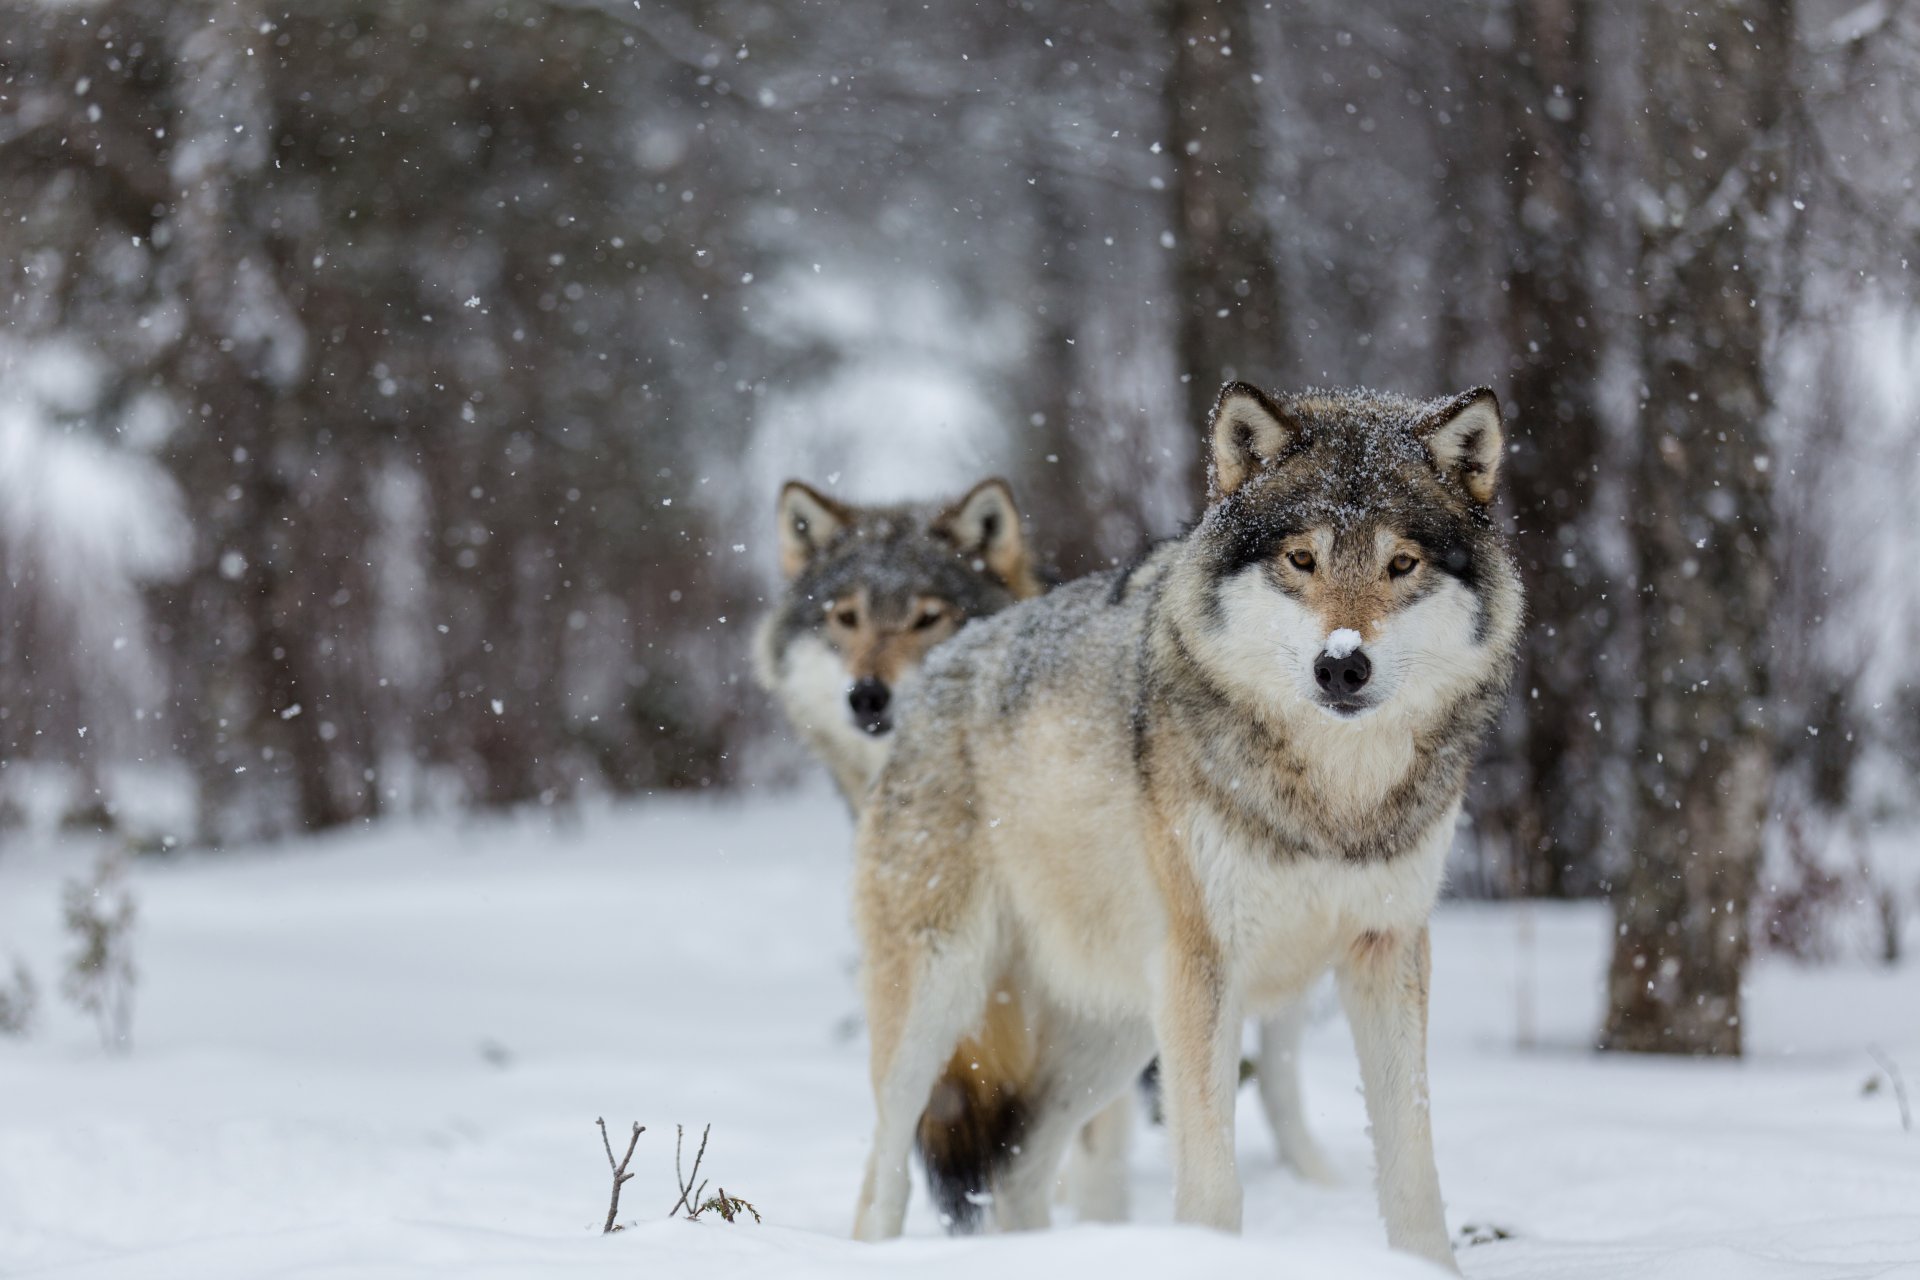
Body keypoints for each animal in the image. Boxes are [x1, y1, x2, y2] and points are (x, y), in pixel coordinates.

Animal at [848, 383, 1520, 1274]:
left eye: (1400, 564)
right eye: (1301, 560)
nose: (1342, 665)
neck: (1332, 800)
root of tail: (936, 667)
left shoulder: (1388, 949)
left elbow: (1413, 1173)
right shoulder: (1208, 969)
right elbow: (1212, 1188)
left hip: (1117, 1030)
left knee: (1020, 1168)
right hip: (942, 997)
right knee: (883, 1172)